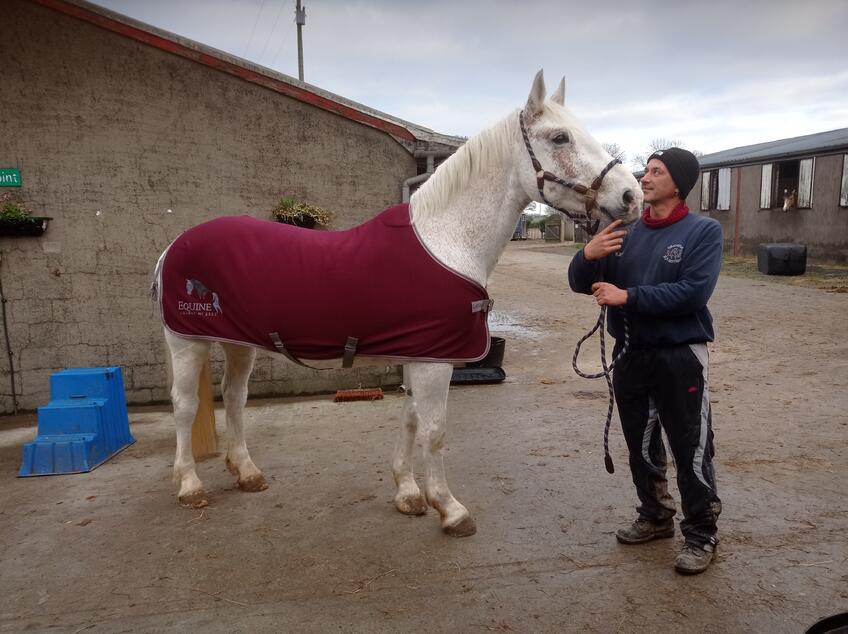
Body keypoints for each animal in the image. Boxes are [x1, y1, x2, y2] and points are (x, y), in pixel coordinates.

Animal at [154, 70, 644, 532]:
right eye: (560, 137)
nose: (631, 196)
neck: (446, 240)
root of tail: (174, 246)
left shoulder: (421, 352)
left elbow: (409, 420)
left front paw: (408, 493)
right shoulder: (435, 362)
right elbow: (434, 430)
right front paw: (449, 508)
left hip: (237, 344)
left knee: (234, 397)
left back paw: (247, 473)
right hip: (188, 342)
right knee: (185, 405)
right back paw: (190, 485)